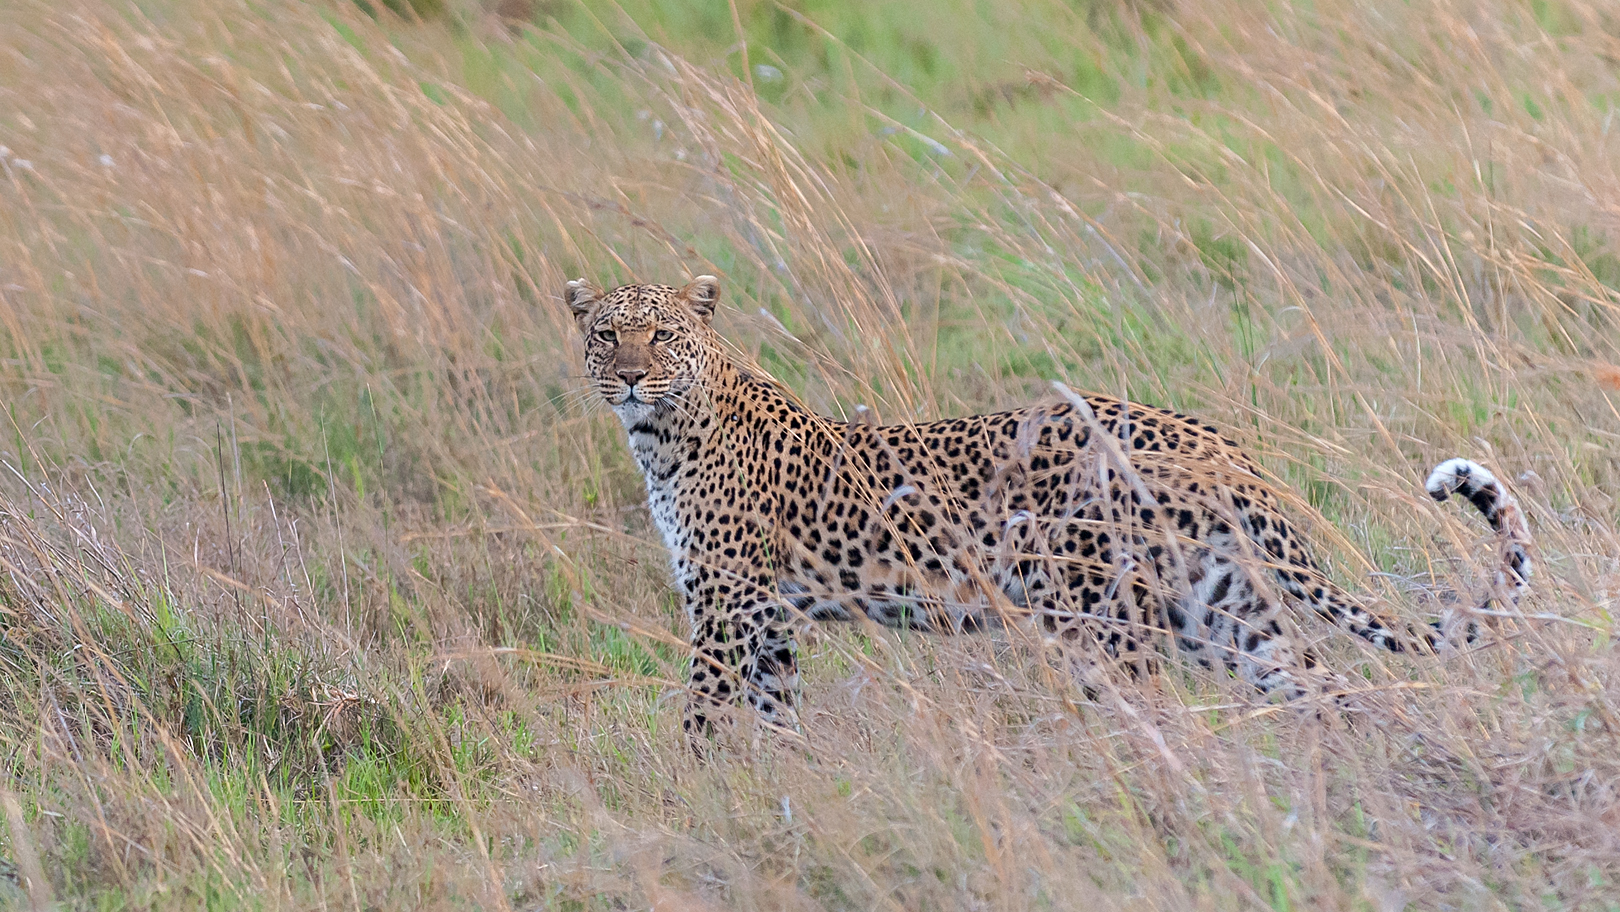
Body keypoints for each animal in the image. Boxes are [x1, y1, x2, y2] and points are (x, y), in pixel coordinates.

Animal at [567, 270, 1529, 741]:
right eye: (606, 333)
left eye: (661, 334)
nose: (629, 375)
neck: (660, 433)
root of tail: (1215, 439)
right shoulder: (763, 619)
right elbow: (776, 722)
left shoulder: (725, 608)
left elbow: (700, 717)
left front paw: (688, 795)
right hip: (1221, 610)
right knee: (1327, 689)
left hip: (1101, 622)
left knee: (1162, 717)